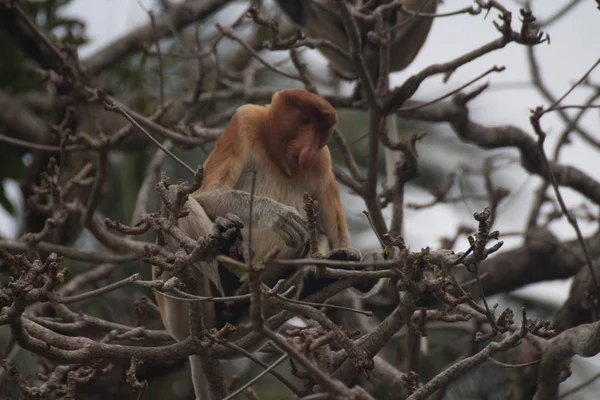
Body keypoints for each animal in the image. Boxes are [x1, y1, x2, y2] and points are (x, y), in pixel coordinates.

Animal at [155, 88, 358, 400]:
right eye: (305, 121)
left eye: (321, 130)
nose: (308, 150)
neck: (277, 157)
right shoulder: (244, 122)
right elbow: (205, 194)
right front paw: (278, 216)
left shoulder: (322, 160)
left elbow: (334, 229)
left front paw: (348, 258)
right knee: (179, 197)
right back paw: (227, 273)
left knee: (320, 235)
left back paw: (310, 281)